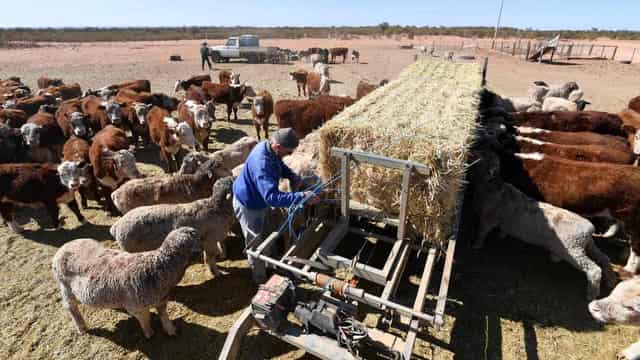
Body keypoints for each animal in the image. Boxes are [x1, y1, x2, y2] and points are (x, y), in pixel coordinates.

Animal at [52, 228, 200, 338]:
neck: (158, 266)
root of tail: (63, 247)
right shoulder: (137, 307)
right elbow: (145, 319)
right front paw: (149, 333)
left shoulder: (161, 299)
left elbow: (164, 315)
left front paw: (170, 329)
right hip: (65, 287)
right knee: (70, 307)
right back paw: (81, 327)